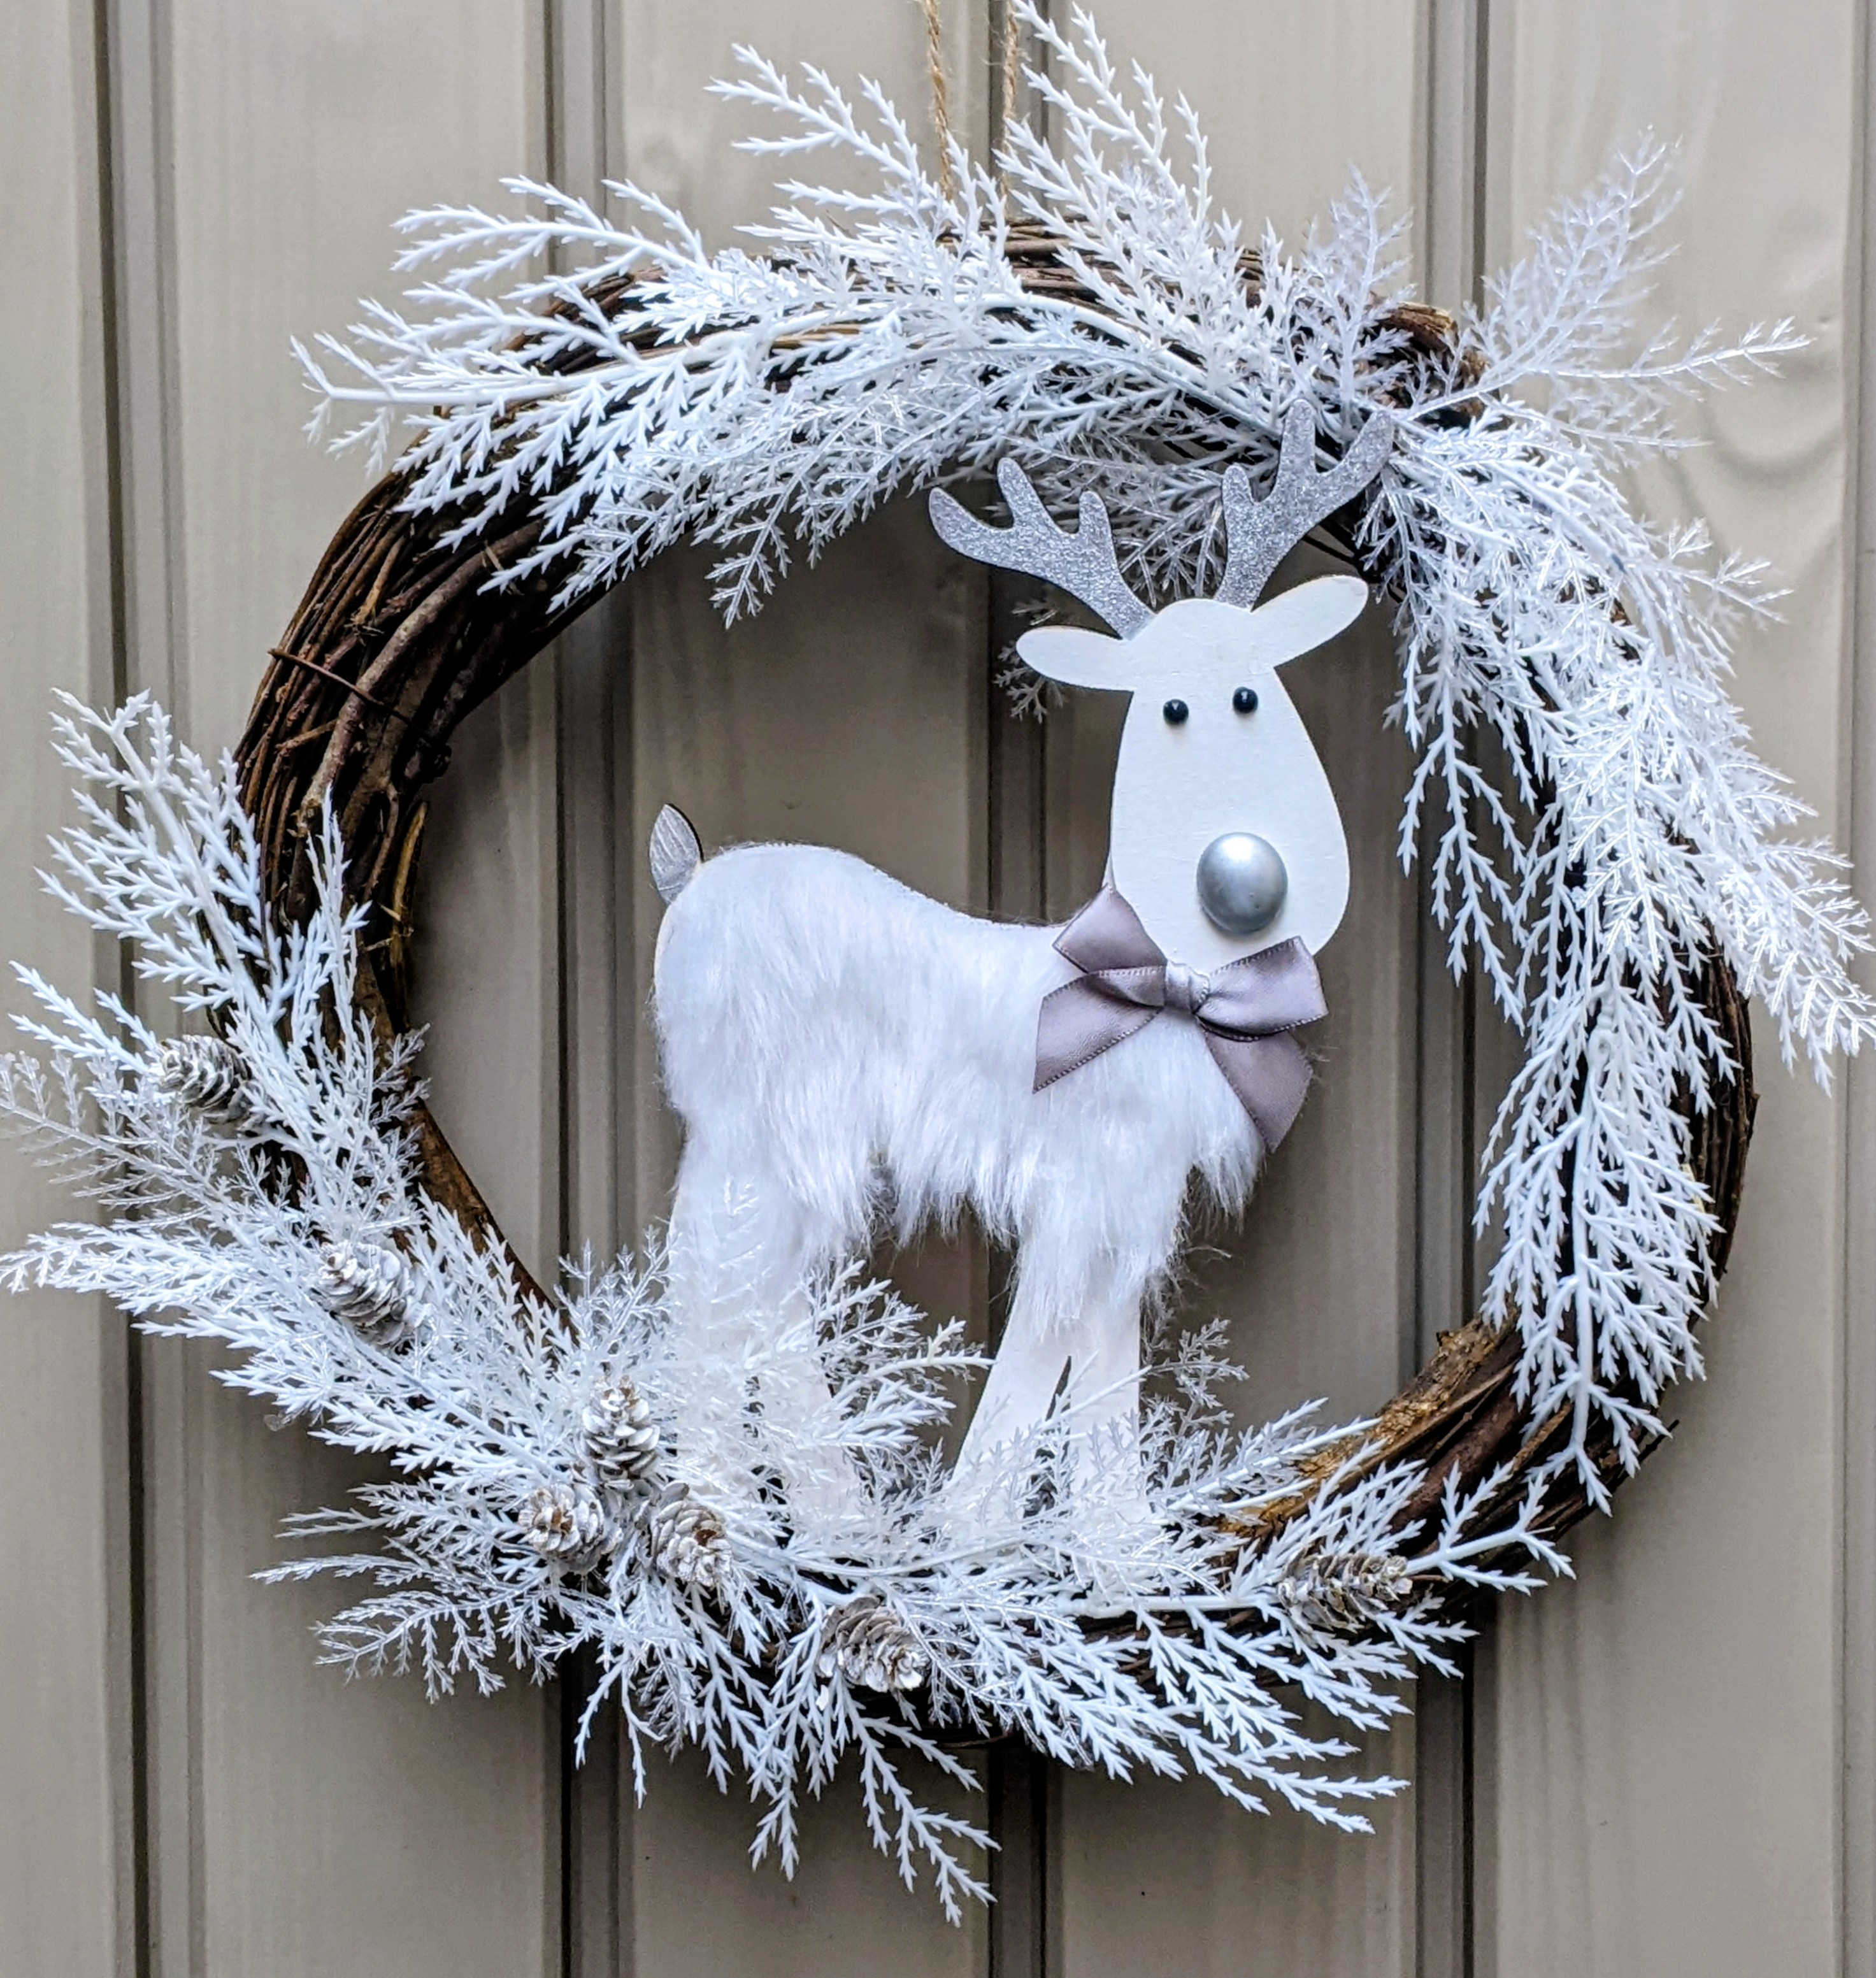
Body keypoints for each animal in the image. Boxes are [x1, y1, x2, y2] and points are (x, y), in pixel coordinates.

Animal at [649, 405, 1392, 1528]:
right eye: (1170, 712)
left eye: (1252, 692)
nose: (1249, 871)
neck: (1168, 984)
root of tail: (687, 881)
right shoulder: (1088, 1185)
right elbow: (1050, 1344)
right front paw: (987, 1528)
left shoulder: (1129, 1197)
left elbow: (1101, 1357)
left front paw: (1114, 1537)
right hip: (777, 1130)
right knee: (731, 1296)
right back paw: (782, 1513)